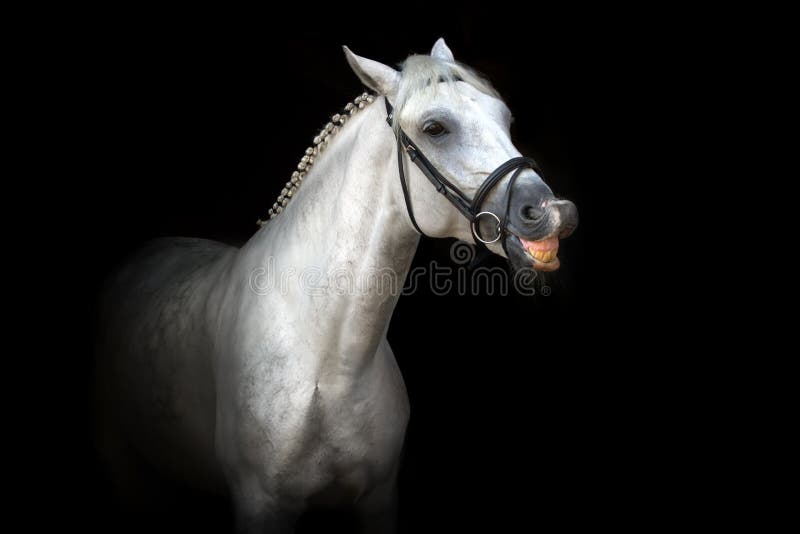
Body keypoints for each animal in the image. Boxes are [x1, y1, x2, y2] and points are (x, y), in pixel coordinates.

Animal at [97, 38, 580, 534]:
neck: (331, 366)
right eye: (435, 128)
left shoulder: (380, 497)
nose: (554, 212)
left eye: (504, 118)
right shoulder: (261, 505)